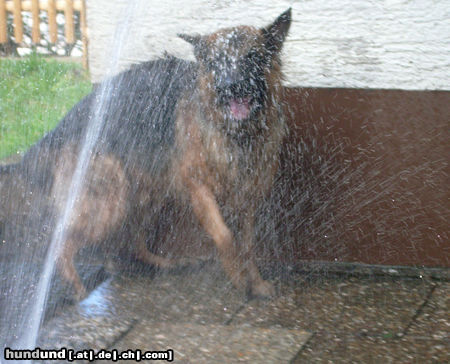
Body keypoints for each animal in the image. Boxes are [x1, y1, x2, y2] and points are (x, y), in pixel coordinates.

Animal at [0, 8, 292, 300]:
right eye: (216, 62)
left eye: (252, 56)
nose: (231, 86)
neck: (236, 134)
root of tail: (56, 131)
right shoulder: (198, 188)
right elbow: (225, 236)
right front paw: (238, 278)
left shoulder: (247, 200)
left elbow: (248, 245)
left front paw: (255, 281)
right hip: (110, 202)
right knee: (61, 243)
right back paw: (76, 287)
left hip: (144, 194)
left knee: (131, 240)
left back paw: (164, 263)